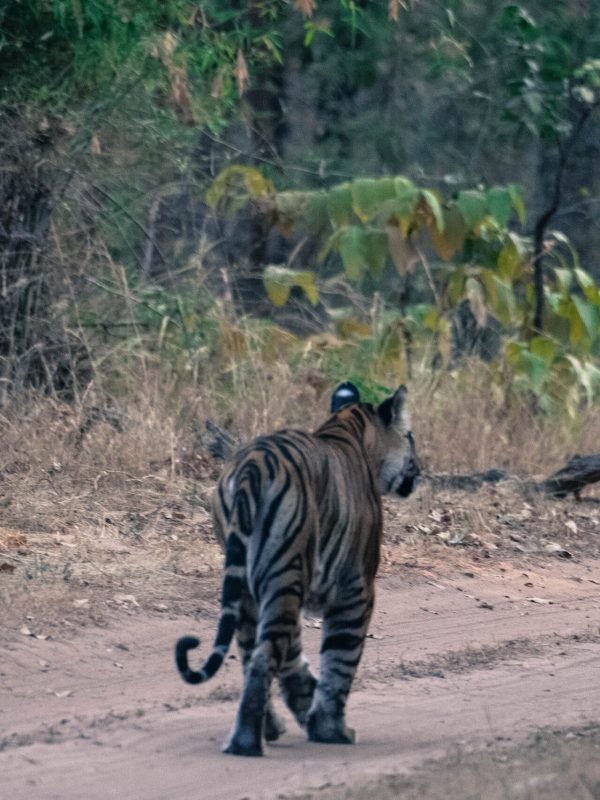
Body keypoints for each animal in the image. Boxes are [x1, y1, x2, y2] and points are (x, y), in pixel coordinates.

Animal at [175, 382, 420, 757]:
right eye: (410, 437)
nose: (419, 471)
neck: (351, 427)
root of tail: (252, 465)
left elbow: (294, 659)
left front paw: (307, 707)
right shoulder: (357, 588)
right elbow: (340, 659)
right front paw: (331, 728)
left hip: (255, 586)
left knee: (250, 650)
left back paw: (268, 727)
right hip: (286, 572)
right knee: (264, 657)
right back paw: (246, 742)